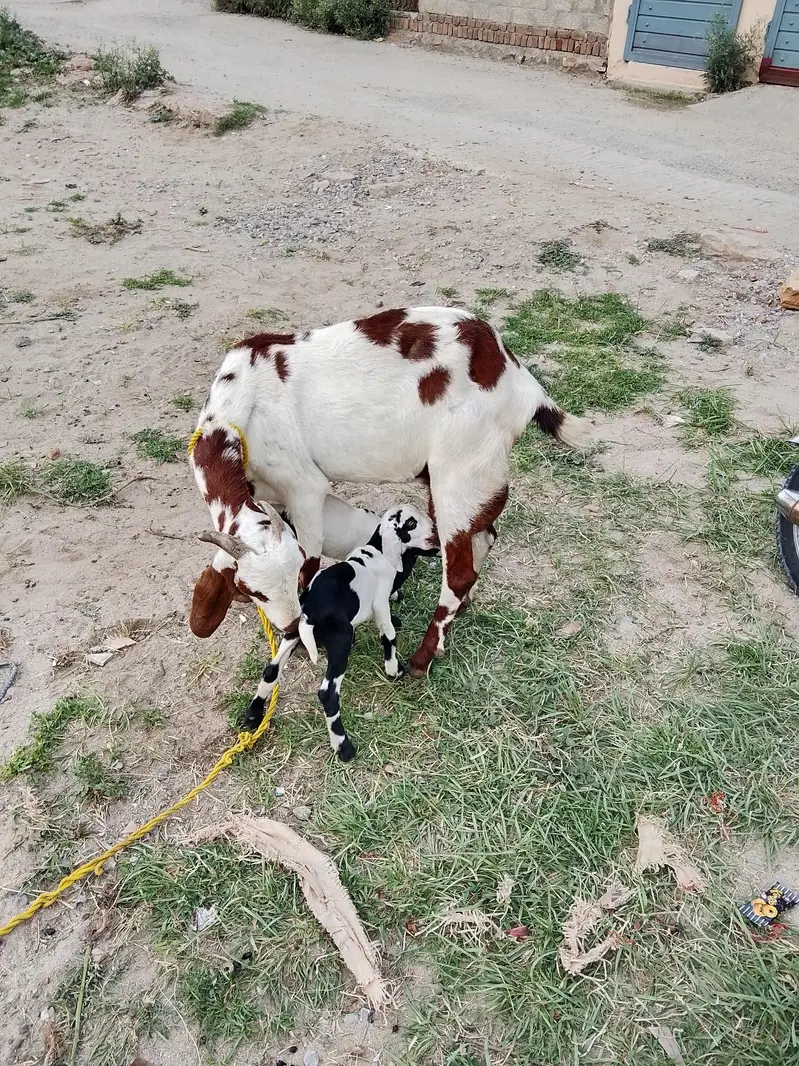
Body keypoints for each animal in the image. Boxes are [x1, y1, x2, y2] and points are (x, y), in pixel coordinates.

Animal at [189, 306, 587, 675]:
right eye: (250, 591)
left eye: (292, 572)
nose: (289, 626)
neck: (243, 408)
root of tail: (517, 377)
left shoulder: (304, 489)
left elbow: (313, 559)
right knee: (481, 537)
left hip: (461, 468)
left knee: (459, 570)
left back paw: (423, 659)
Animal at [244, 505, 438, 760]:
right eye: (412, 523)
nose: (436, 531)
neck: (379, 552)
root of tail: (310, 611)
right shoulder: (380, 603)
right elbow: (388, 635)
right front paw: (394, 671)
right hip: (339, 642)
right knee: (328, 694)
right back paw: (343, 746)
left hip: (293, 633)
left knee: (271, 670)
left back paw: (253, 715)